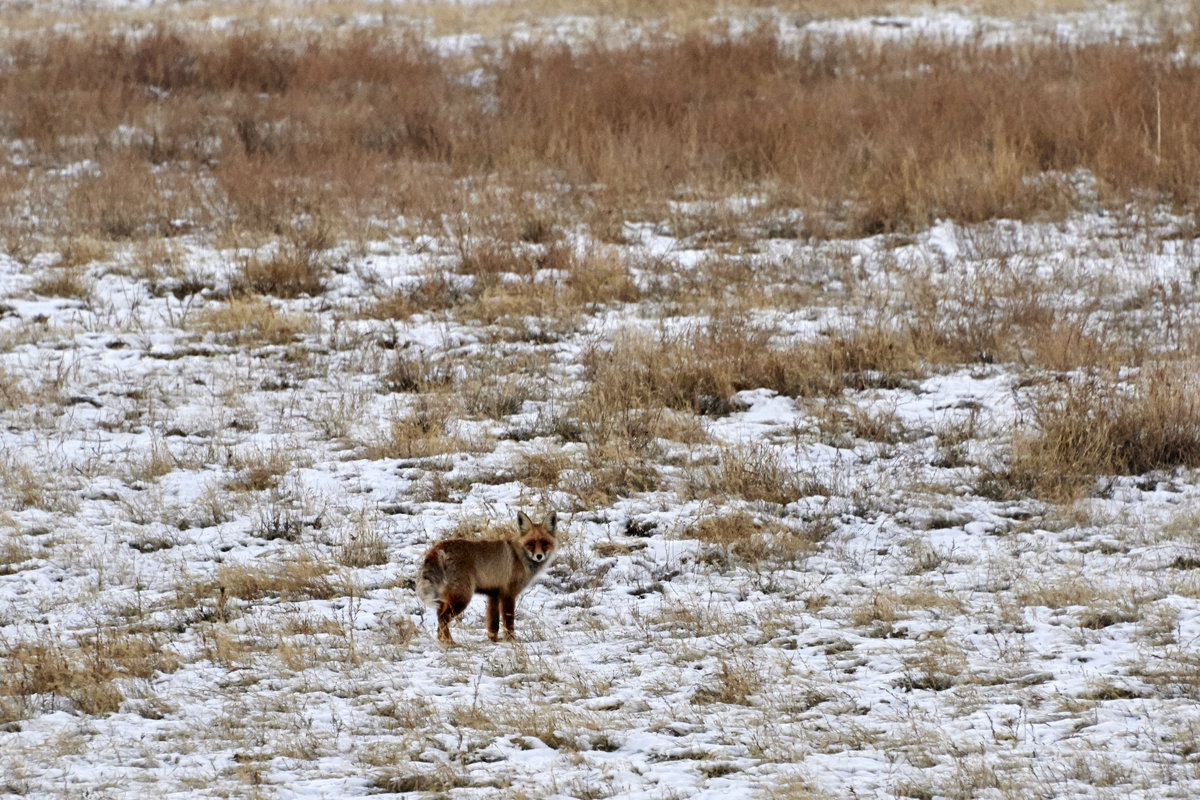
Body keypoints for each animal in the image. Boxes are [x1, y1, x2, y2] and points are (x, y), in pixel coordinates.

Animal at [417, 510, 556, 647]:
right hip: (462, 598)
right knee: (442, 619)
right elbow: (509, 622)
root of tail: (438, 547)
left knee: (439, 619)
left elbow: (493, 624)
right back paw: (449, 644)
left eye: (545, 543)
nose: (539, 556)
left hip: (446, 599)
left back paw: (443, 641)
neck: (519, 557)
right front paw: (511, 641)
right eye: (531, 543)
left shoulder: (494, 594)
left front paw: (493, 641)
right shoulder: (508, 595)